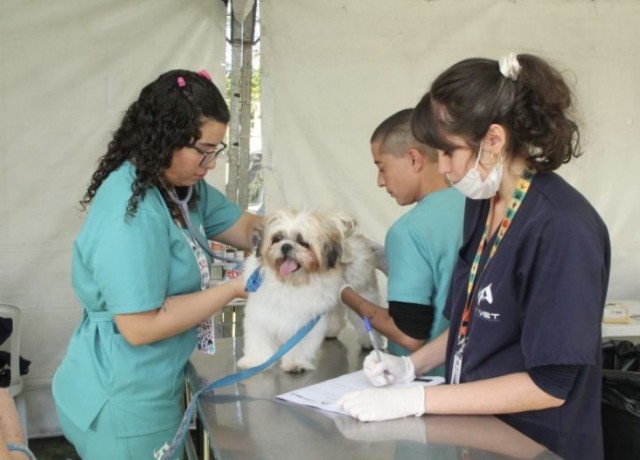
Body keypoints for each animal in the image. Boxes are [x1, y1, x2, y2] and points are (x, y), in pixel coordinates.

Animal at [238, 208, 382, 374]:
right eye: (277, 238)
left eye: (303, 242)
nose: (286, 246)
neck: (291, 282)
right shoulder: (261, 314)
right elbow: (259, 340)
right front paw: (256, 361)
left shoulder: (306, 321)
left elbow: (300, 345)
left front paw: (295, 363)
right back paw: (332, 331)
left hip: (362, 290)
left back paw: (370, 341)